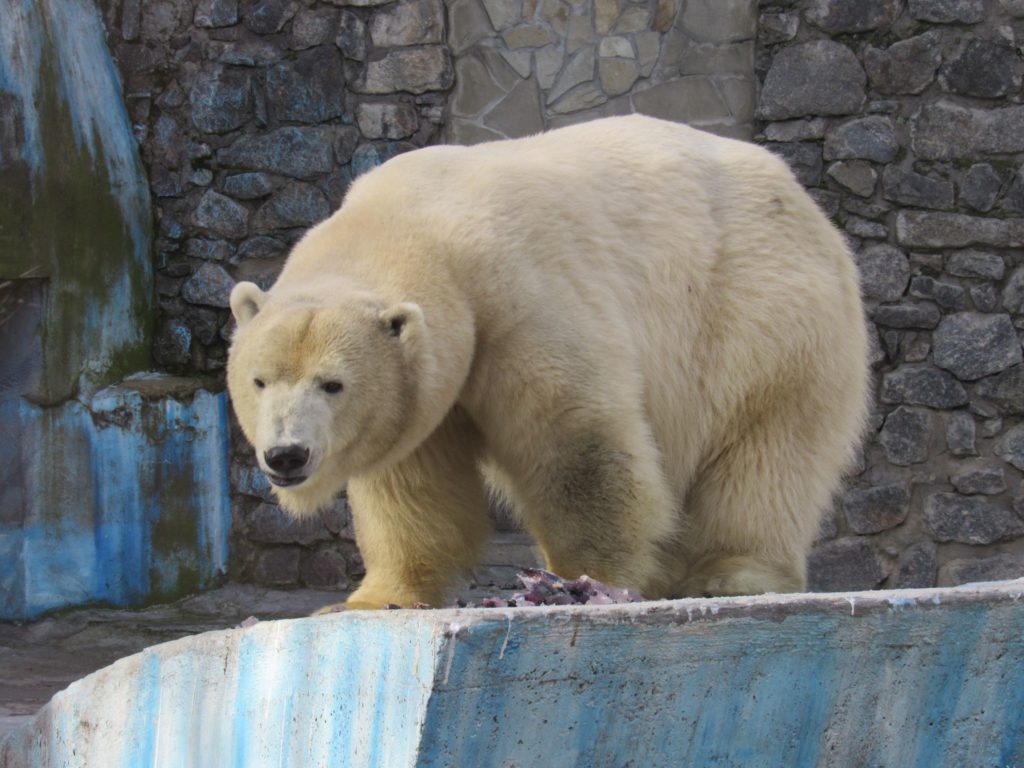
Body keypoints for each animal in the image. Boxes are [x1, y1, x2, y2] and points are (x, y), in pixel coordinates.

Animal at [228, 114, 868, 610]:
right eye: (259, 381)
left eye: (332, 384)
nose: (286, 455)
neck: (412, 223)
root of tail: (805, 202)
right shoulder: (428, 380)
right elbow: (414, 484)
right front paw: (368, 599)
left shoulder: (518, 296)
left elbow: (574, 441)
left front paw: (587, 581)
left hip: (760, 313)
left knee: (767, 448)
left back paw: (732, 575)